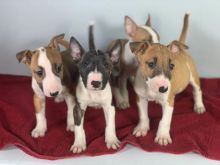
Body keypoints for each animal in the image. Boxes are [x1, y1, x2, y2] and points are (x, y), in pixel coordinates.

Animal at [69, 23, 120, 153]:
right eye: (85, 64)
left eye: (106, 65)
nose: (96, 83)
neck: (95, 94)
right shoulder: (79, 107)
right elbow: (78, 127)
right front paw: (79, 143)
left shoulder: (109, 107)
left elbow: (110, 124)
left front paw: (111, 140)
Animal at [129, 14, 205, 146]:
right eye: (151, 64)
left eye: (171, 66)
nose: (163, 88)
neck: (150, 88)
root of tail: (181, 50)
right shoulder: (141, 98)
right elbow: (143, 115)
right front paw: (142, 128)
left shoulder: (168, 102)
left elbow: (164, 120)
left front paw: (163, 136)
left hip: (193, 77)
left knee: (197, 91)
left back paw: (199, 106)